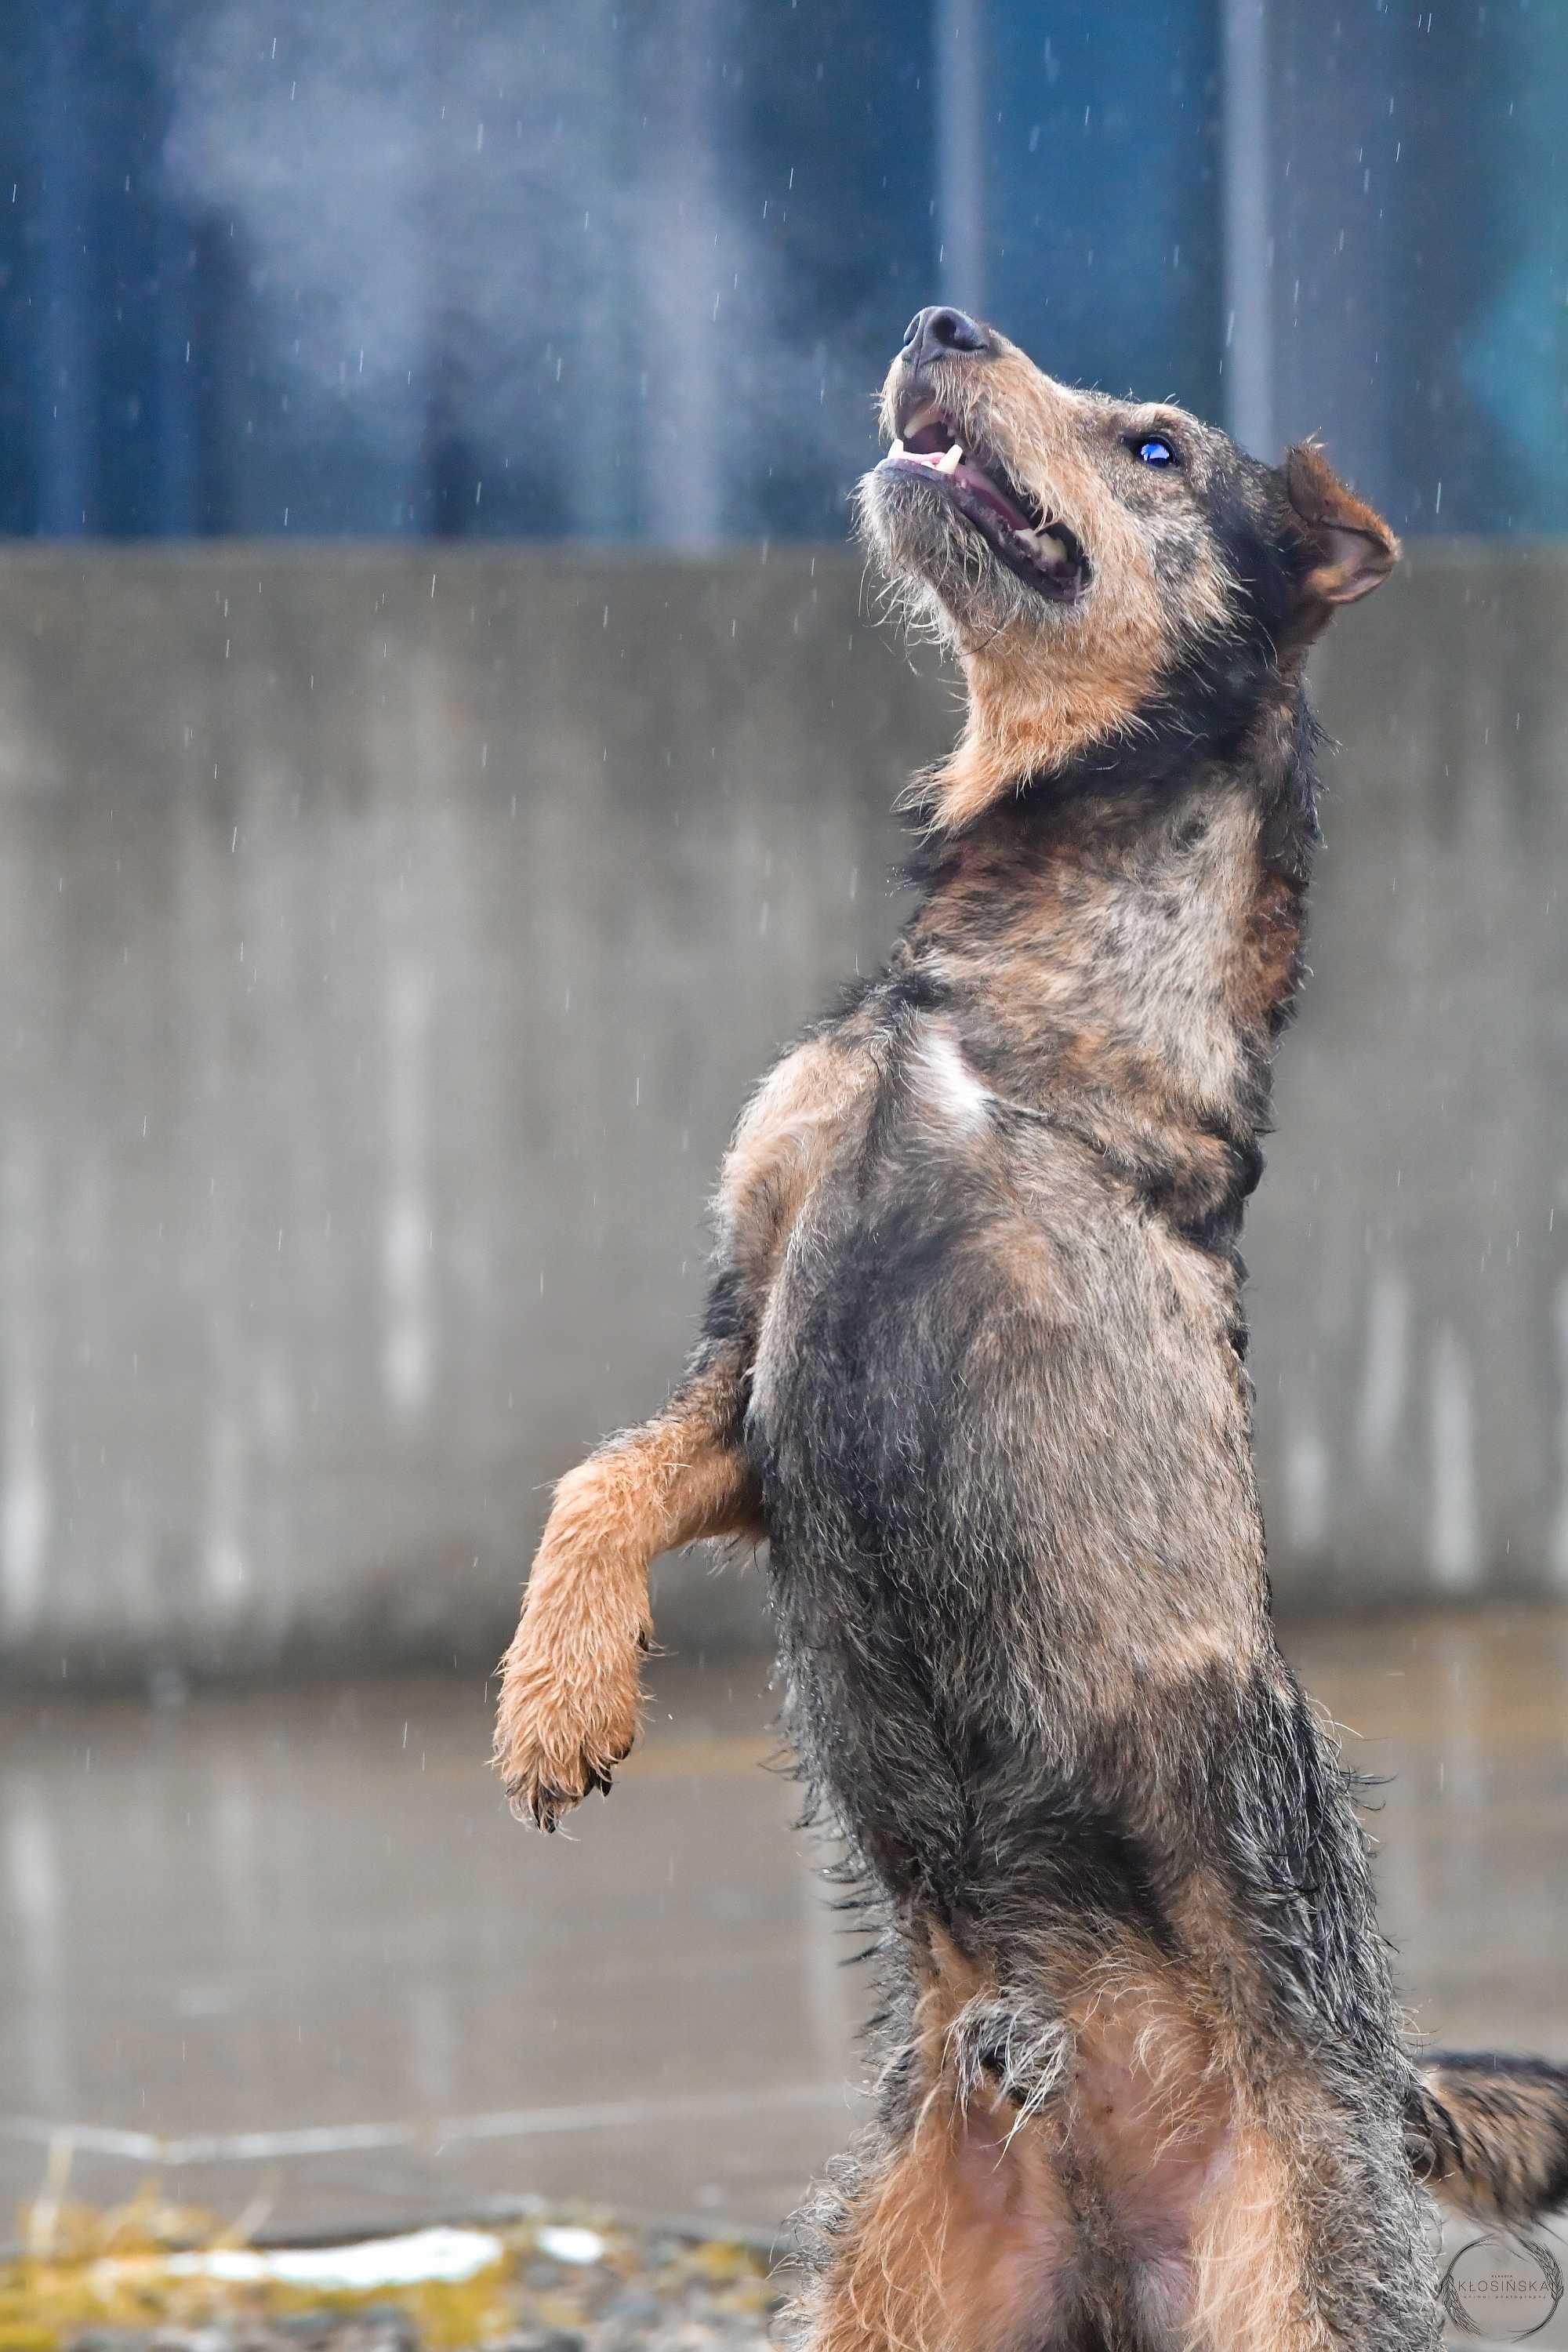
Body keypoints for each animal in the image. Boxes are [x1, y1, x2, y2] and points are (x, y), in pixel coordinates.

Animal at [493, 313, 1568, 2352]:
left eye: (1152, 445)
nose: (939, 322)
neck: (995, 995)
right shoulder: (753, 1368)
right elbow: (599, 1476)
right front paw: (556, 1693)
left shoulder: (971, 1332)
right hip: (896, 2289)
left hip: (1288, 2286)